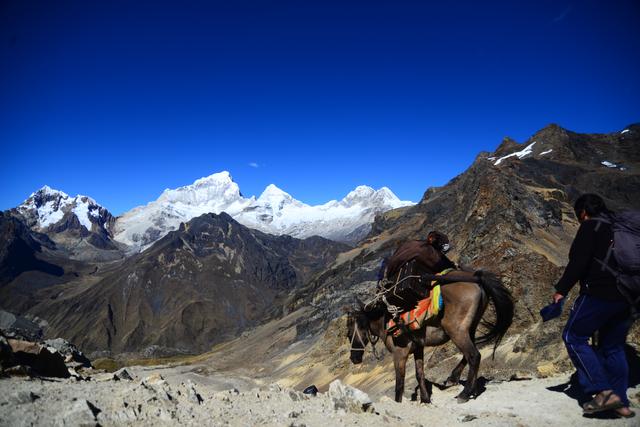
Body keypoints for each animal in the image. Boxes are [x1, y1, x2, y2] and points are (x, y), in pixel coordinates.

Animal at [348, 270, 512, 404]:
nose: (354, 358)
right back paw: (460, 382)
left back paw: (464, 394)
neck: (386, 320)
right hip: (469, 329)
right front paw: (426, 400)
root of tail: (476, 279)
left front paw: (398, 402)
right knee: (470, 354)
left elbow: (399, 383)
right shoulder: (418, 348)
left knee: (473, 355)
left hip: (456, 331)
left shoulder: (399, 354)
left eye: (349, 334)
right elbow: (419, 374)